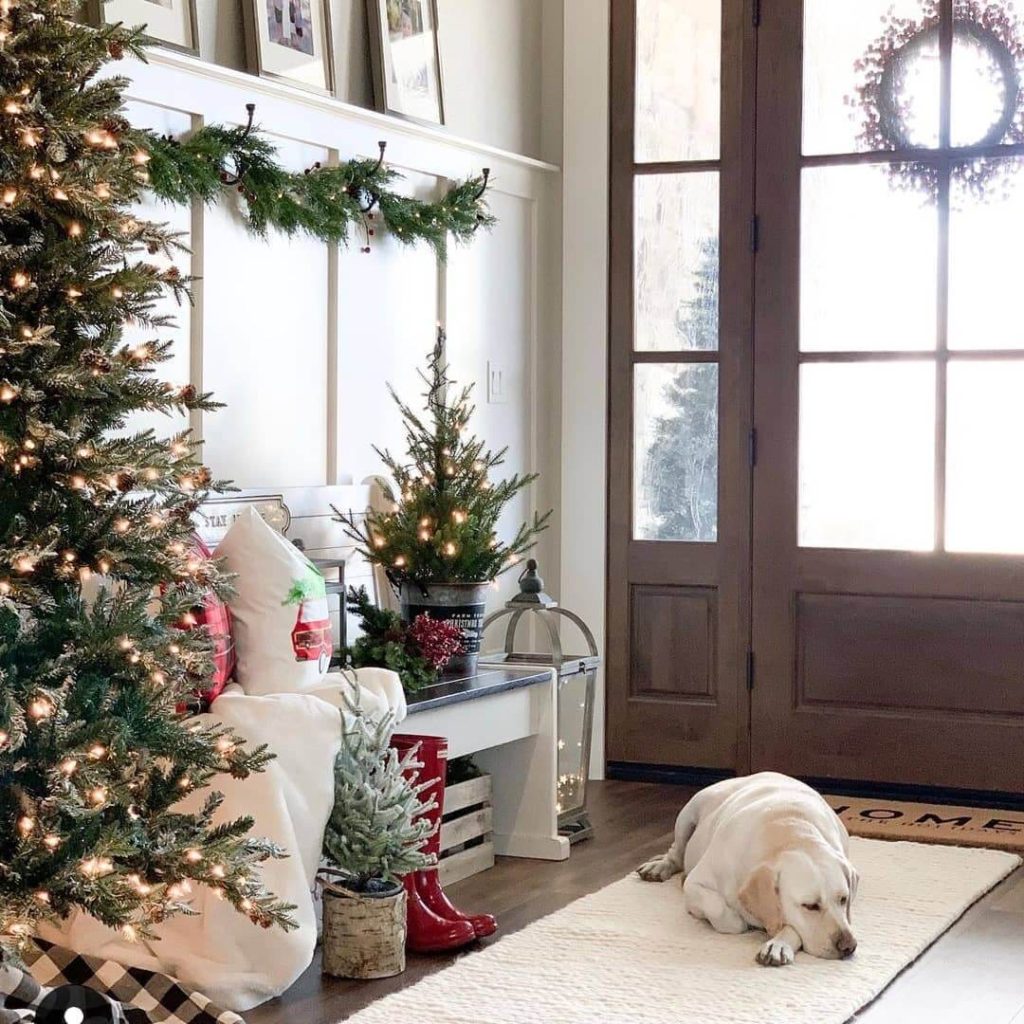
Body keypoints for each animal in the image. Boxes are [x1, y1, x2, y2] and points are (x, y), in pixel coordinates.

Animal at [634, 770, 860, 962]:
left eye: (843, 899)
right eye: (810, 906)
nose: (849, 946)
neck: (791, 835)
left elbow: (790, 925)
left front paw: (779, 944)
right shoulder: (696, 883)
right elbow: (721, 910)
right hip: (688, 814)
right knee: (676, 853)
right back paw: (659, 868)